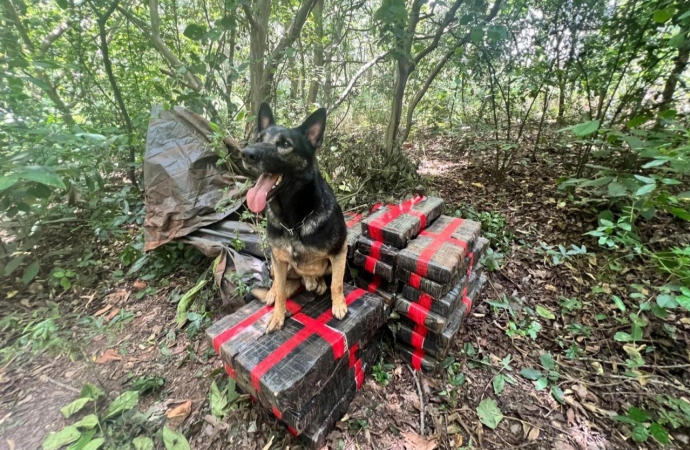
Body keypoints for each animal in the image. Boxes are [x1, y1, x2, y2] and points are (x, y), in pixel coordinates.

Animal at [242, 103, 350, 332]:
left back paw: (317, 283)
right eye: (259, 139)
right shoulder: (279, 260)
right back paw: (274, 292)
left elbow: (337, 283)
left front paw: (338, 305)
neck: (293, 221)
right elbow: (282, 292)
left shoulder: (339, 252)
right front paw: (277, 315)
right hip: (276, 262)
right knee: (278, 282)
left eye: (285, 144)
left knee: (321, 277)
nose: (246, 154)